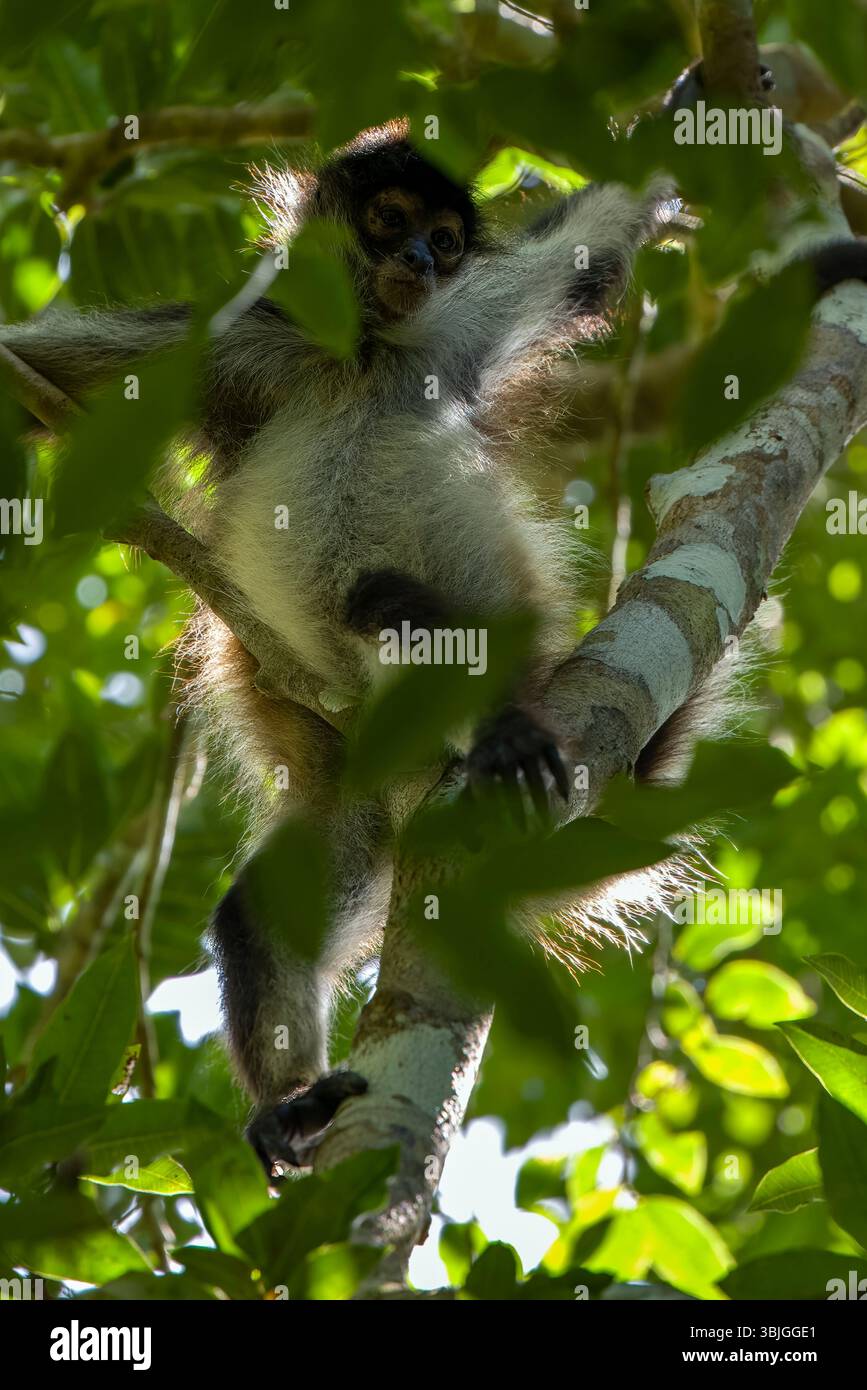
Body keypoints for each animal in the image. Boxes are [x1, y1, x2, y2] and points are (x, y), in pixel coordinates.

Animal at [4, 121, 867, 1180]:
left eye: (447, 242)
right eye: (389, 221)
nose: (418, 259)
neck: (360, 347)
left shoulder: (456, 330)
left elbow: (591, 249)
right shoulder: (236, 335)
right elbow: (39, 384)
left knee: (384, 604)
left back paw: (495, 730)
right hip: (358, 800)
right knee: (260, 913)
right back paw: (290, 1103)